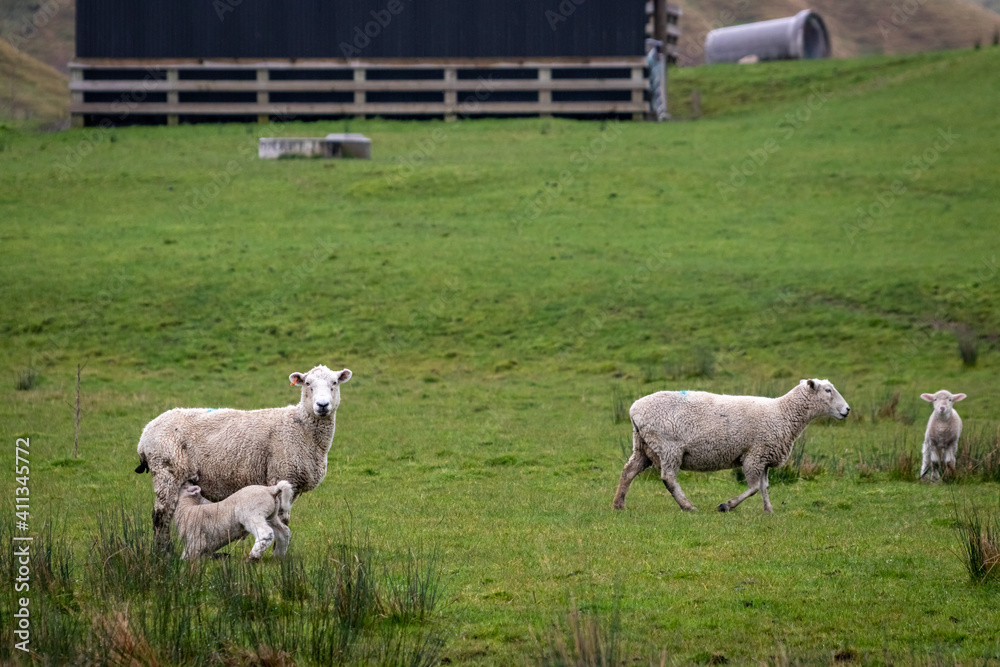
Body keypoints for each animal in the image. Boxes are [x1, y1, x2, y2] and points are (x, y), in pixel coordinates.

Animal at [135, 364, 352, 551]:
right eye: (308, 383)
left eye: (334, 383)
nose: (322, 405)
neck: (302, 428)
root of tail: (145, 433)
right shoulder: (282, 474)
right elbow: (282, 520)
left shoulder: (293, 484)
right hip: (166, 470)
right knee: (161, 515)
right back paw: (163, 552)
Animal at [613, 379, 850, 513]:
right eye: (828, 390)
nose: (847, 410)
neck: (783, 413)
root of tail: (634, 410)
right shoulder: (755, 454)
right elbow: (753, 488)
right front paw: (726, 505)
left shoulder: (764, 457)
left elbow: (764, 487)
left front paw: (769, 510)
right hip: (669, 446)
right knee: (668, 478)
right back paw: (688, 506)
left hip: (642, 446)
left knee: (628, 472)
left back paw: (618, 504)